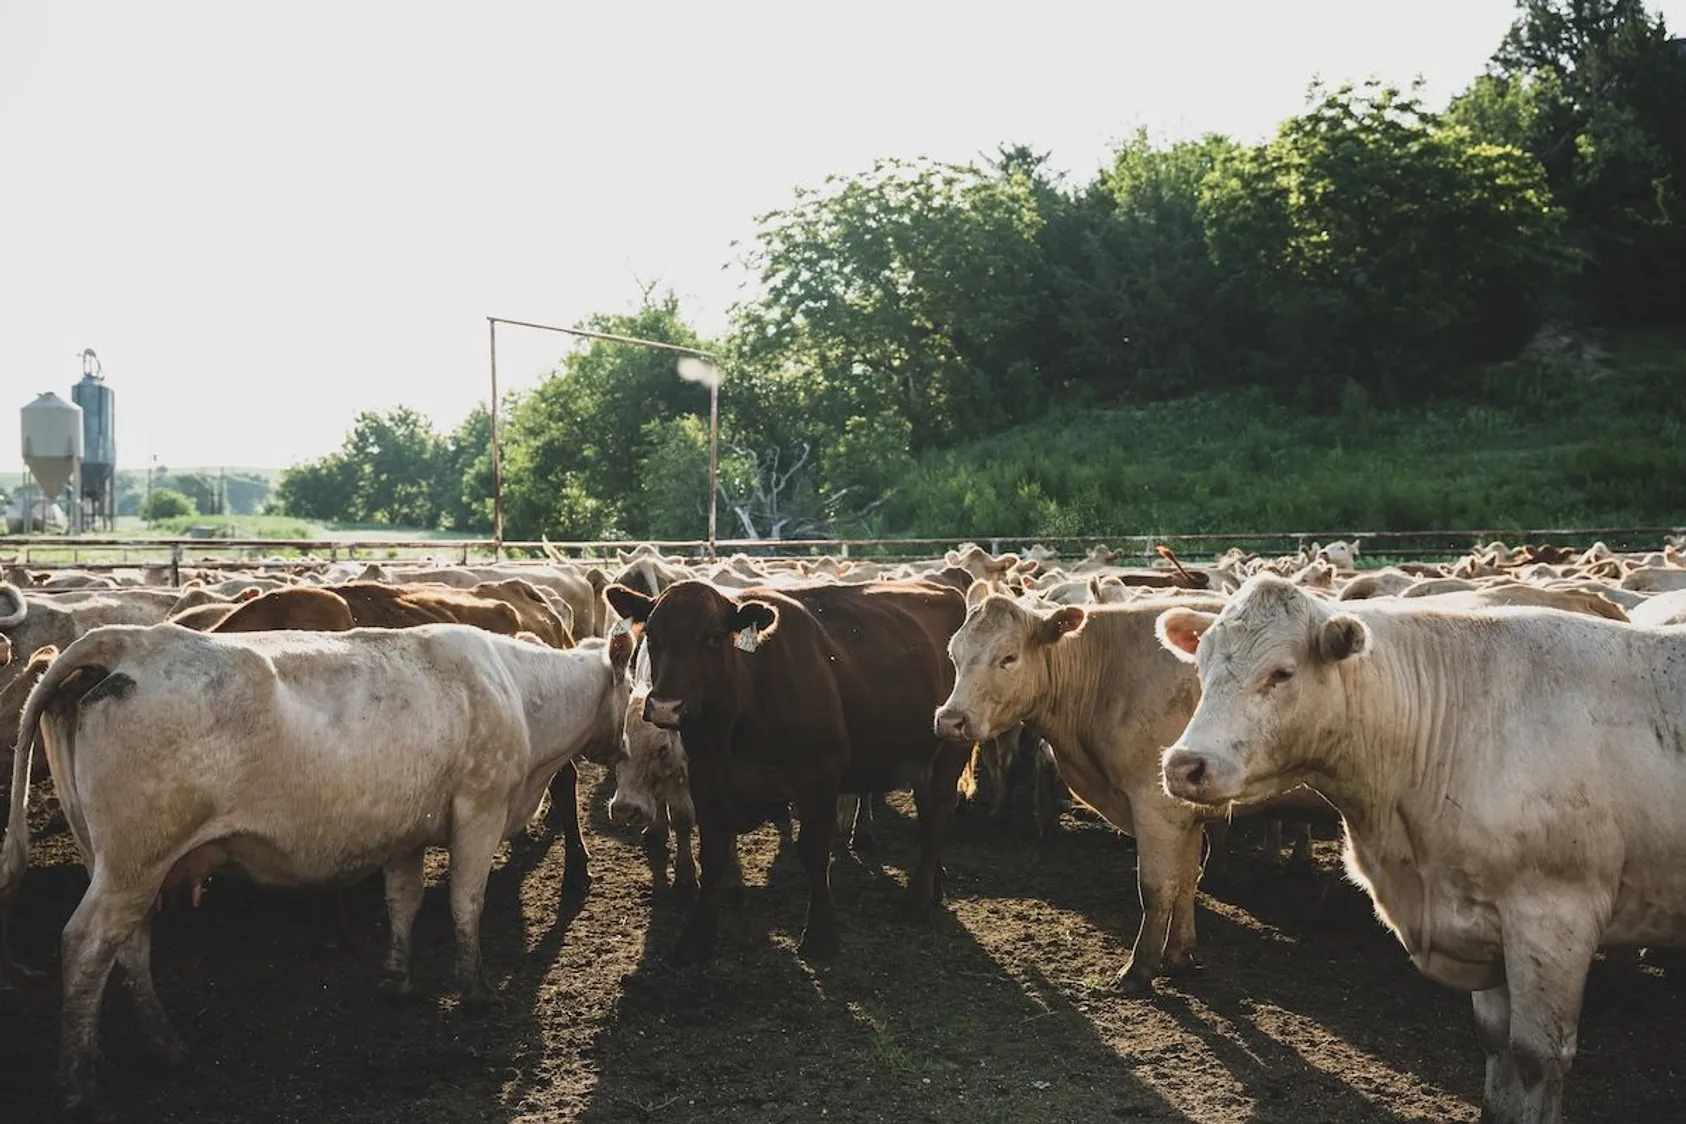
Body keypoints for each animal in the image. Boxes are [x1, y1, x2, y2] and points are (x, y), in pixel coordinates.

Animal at [0, 622, 634, 1115]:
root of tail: (129, 640)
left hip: (116, 863)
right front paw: (477, 989)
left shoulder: (403, 830)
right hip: (136, 860)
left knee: (127, 945)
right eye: (633, 685)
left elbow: (403, 900)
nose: (626, 750)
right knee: (86, 945)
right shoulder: (479, 810)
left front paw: (396, 978)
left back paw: (166, 1046)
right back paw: (81, 1082)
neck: (518, 693)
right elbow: (465, 900)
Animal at [604, 579, 973, 964]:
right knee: (931, 812)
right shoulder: (706, 777)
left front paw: (821, 935)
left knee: (936, 812)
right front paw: (696, 936)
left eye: (714, 637)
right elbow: (713, 854)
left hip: (952, 747)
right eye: (652, 635)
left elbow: (813, 852)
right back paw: (935, 886)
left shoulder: (820, 775)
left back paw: (917, 897)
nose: (665, 707)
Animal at [1156, 574, 1686, 1124]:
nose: (1184, 766)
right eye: (1201, 665)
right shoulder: (1484, 921)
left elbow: (1536, 1056)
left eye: (1281, 672)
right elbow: (1496, 1042)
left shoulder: (1554, 920)